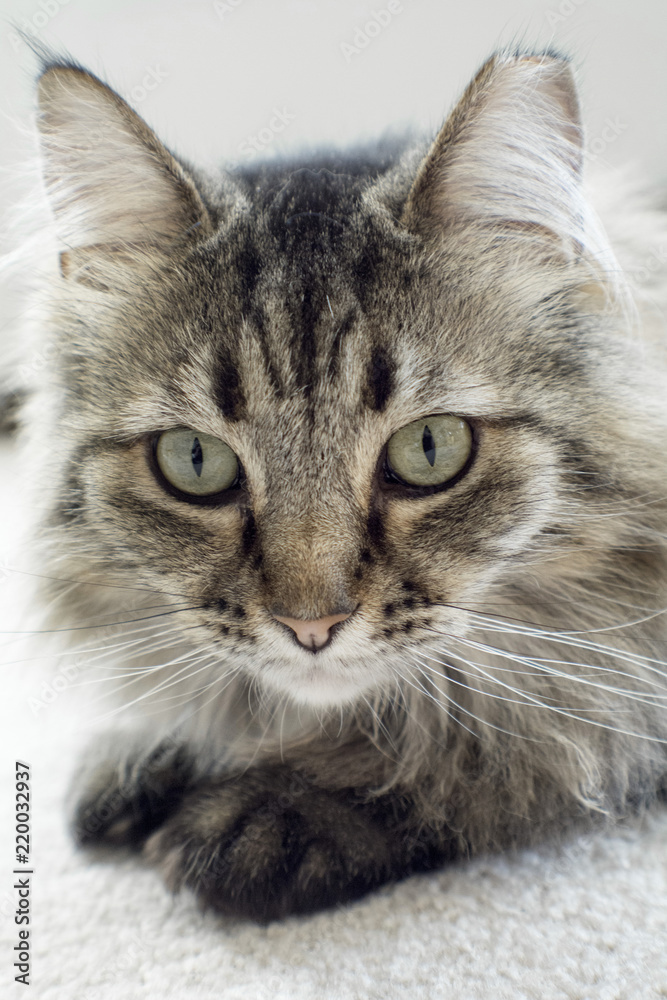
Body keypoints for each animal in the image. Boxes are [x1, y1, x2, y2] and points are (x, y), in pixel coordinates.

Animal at [20, 47, 667, 920]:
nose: (311, 626)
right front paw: (152, 746)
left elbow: (524, 751)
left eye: (429, 448)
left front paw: (282, 809)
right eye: (195, 462)